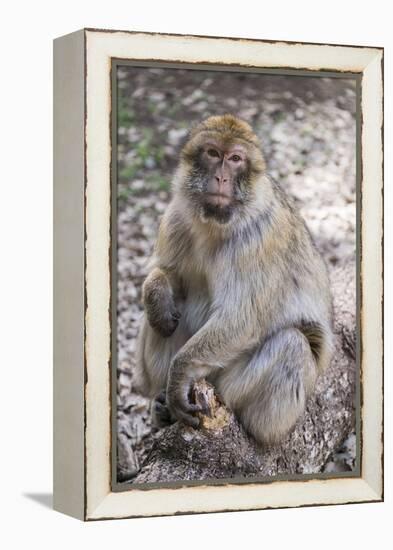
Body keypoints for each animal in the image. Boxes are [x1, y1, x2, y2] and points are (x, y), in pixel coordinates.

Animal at [133, 114, 332, 446]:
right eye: (213, 153)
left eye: (236, 159)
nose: (221, 177)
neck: (215, 224)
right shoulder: (175, 218)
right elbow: (168, 275)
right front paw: (156, 291)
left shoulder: (257, 240)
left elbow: (242, 318)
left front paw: (178, 377)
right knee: (162, 319)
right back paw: (161, 404)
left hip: (236, 389)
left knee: (292, 343)